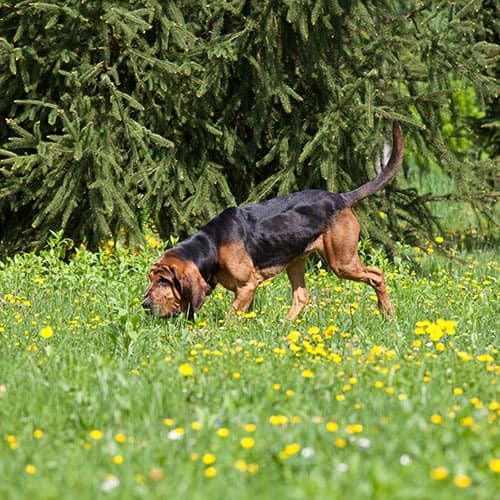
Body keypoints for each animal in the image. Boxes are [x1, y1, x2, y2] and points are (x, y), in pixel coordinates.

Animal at [141, 123, 402, 322]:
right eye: (151, 279)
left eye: (164, 281)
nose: (144, 303)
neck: (212, 244)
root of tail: (341, 198)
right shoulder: (247, 291)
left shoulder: (247, 285)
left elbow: (231, 317)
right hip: (296, 260)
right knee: (301, 297)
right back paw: (285, 327)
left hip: (342, 261)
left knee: (377, 275)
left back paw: (388, 314)